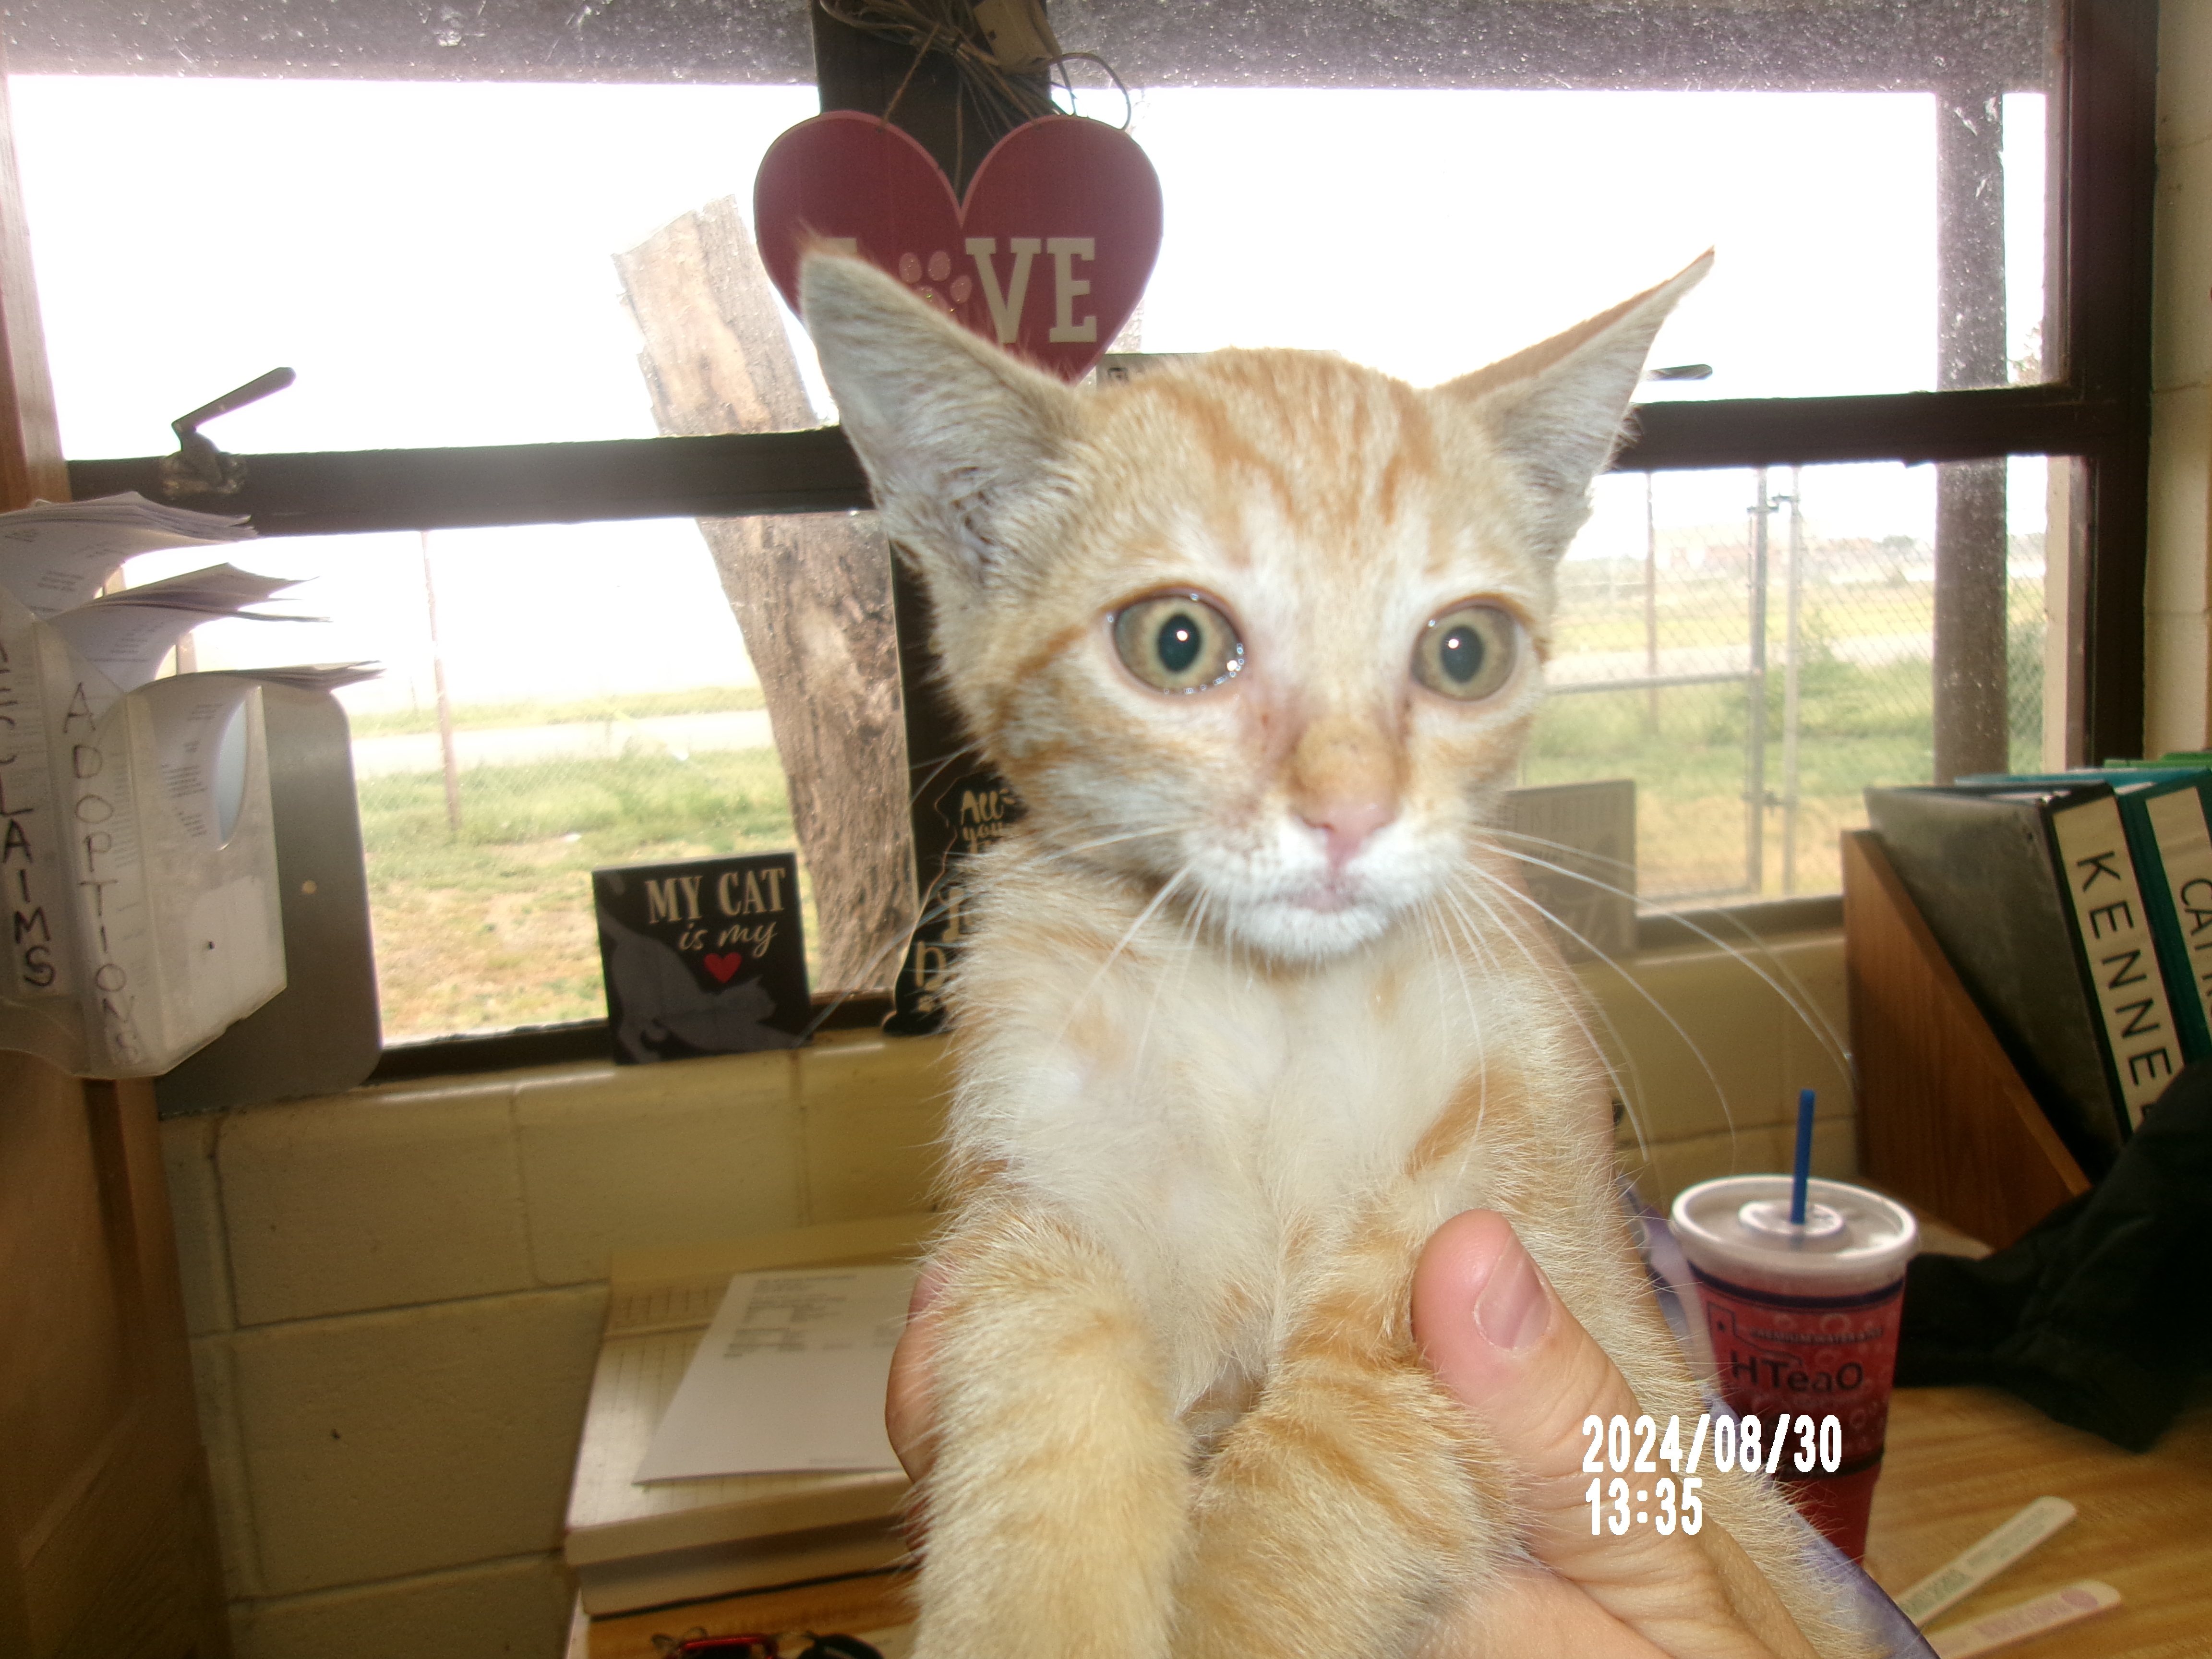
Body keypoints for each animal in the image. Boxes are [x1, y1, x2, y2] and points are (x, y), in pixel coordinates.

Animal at [805, 250, 1858, 1659]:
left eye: (1466, 650)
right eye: (1176, 641)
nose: (1351, 812)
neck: (1263, 1007)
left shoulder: (1491, 1199)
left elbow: (1316, 1487)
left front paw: (1242, 1597)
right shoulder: (1046, 1199)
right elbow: (1036, 1415)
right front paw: (1041, 1600)